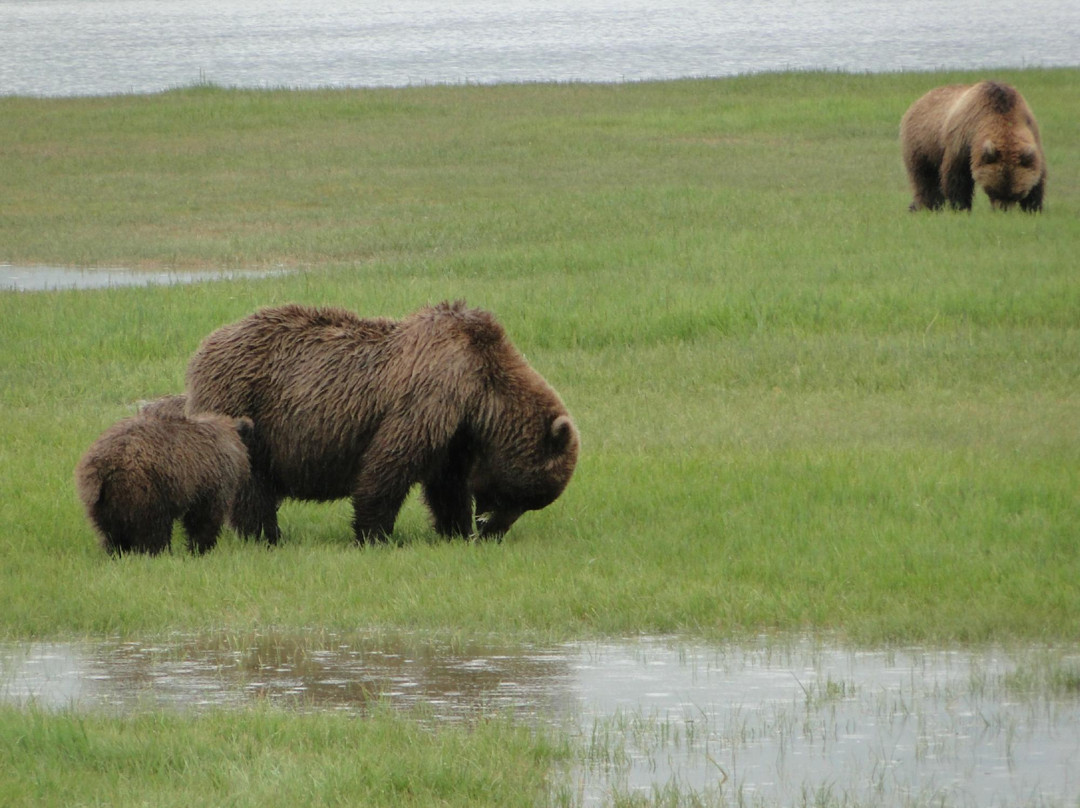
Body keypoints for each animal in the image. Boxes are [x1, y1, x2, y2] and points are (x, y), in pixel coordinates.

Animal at [75, 406, 253, 556]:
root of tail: (102, 466)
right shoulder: (210, 480)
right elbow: (204, 517)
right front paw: (200, 548)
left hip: (103, 499)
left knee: (111, 531)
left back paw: (117, 552)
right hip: (145, 487)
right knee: (152, 528)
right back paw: (159, 551)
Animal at [184, 301, 579, 545]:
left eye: (531, 502)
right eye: (521, 495)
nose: (491, 533)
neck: (480, 397)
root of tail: (203, 348)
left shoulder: (455, 434)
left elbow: (446, 484)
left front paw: (453, 528)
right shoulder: (428, 399)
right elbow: (388, 466)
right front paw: (374, 534)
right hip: (245, 405)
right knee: (252, 483)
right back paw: (267, 535)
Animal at [900, 80, 1046, 212]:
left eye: (1017, 193)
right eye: (992, 190)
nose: (1003, 211)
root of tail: (919, 100)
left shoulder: (1031, 131)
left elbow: (1038, 177)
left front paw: (1033, 207)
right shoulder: (963, 139)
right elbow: (957, 176)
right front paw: (961, 206)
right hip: (922, 144)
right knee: (924, 178)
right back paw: (927, 206)